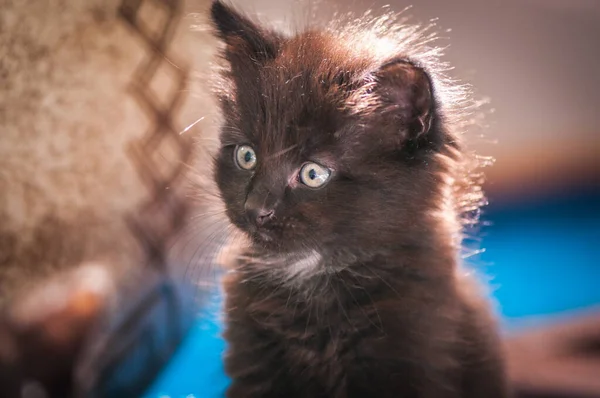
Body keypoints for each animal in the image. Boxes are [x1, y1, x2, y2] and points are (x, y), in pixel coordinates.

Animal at [209, 1, 508, 396]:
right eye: (246, 156)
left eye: (312, 174)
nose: (255, 208)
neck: (311, 271)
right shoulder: (254, 359)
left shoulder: (408, 348)